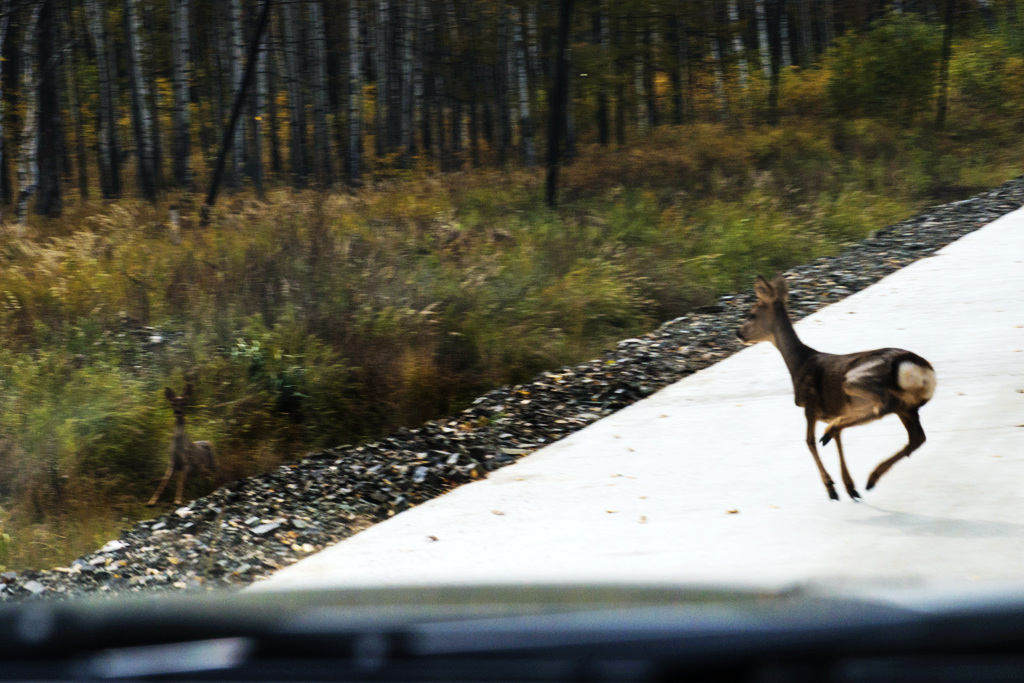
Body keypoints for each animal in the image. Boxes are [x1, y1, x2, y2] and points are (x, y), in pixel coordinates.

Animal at [737, 274, 937, 501]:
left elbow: (809, 441)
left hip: (854, 378)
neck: (799, 364)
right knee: (916, 437)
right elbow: (838, 441)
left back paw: (835, 437)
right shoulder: (834, 410)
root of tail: (915, 367)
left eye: (751, 314)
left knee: (883, 406)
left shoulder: (810, 404)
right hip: (909, 407)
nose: (738, 333)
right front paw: (849, 487)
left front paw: (831, 488)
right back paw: (870, 477)